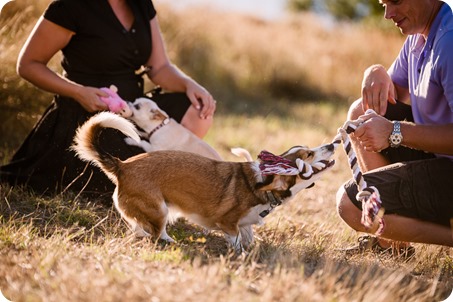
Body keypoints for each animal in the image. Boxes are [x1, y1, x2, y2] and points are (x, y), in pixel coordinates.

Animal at [73, 112, 336, 251]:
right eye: (308, 155)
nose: (333, 144)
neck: (264, 180)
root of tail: (122, 166)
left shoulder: (246, 224)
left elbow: (249, 234)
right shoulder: (228, 223)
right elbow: (236, 239)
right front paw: (239, 253)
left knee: (139, 227)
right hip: (159, 209)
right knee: (155, 232)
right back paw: (167, 239)